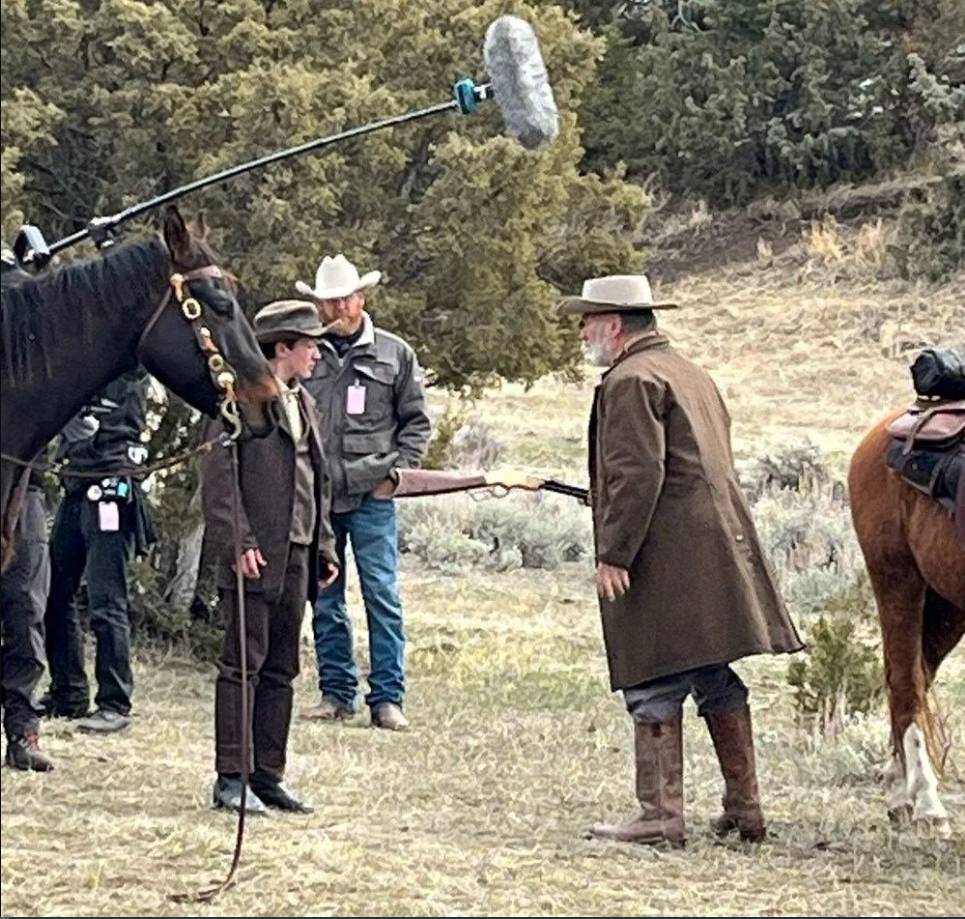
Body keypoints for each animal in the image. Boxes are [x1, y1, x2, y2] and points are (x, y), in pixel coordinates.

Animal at [848, 414, 960, 836]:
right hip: (897, 579)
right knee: (905, 685)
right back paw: (927, 804)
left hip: (947, 606)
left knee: (916, 679)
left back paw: (900, 791)